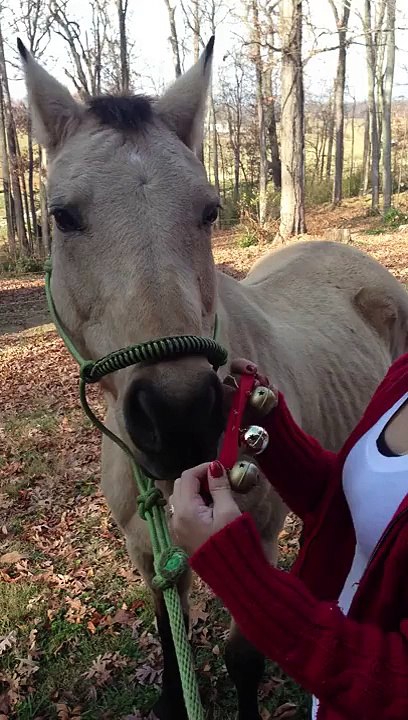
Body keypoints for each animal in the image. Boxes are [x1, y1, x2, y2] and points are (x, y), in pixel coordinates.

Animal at [19, 37, 408, 720]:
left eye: (208, 209)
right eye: (62, 217)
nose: (178, 415)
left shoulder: (258, 535)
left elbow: (243, 656)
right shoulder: (149, 555)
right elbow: (171, 650)